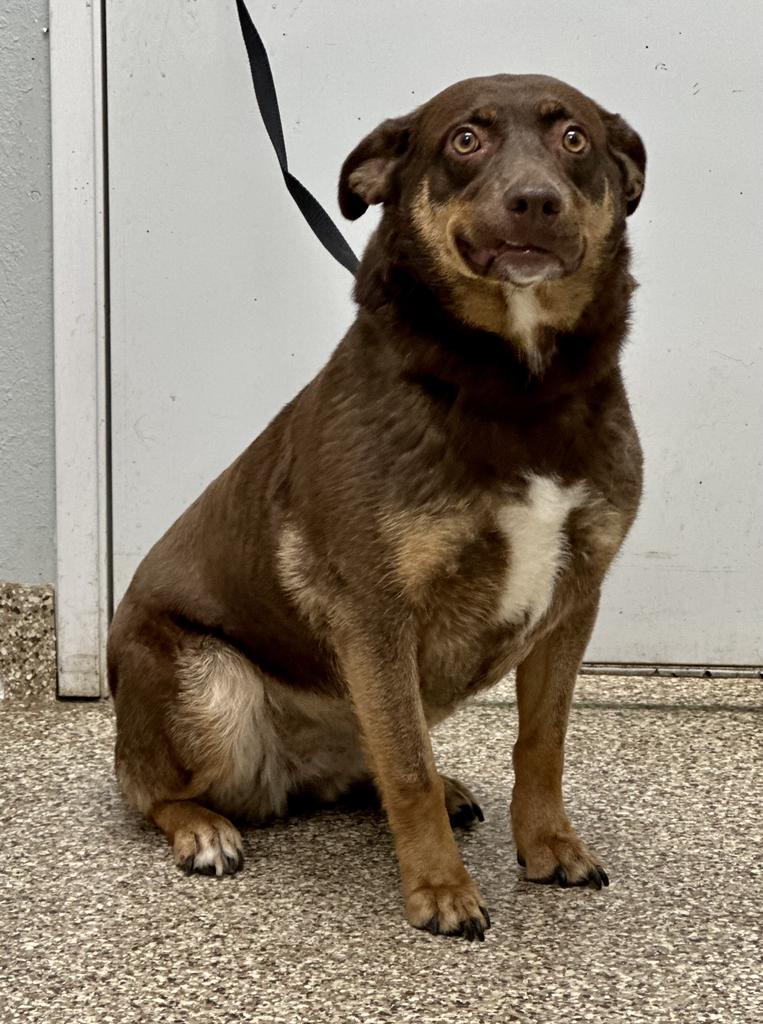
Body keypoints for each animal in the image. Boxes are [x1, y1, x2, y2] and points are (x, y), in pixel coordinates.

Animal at [107, 74, 643, 942]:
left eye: (574, 140)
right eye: (464, 140)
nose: (535, 201)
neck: (515, 390)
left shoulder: (572, 602)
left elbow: (540, 743)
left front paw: (548, 845)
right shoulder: (376, 614)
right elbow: (409, 772)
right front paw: (439, 890)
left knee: (372, 764)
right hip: (213, 688)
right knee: (150, 790)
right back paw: (203, 829)